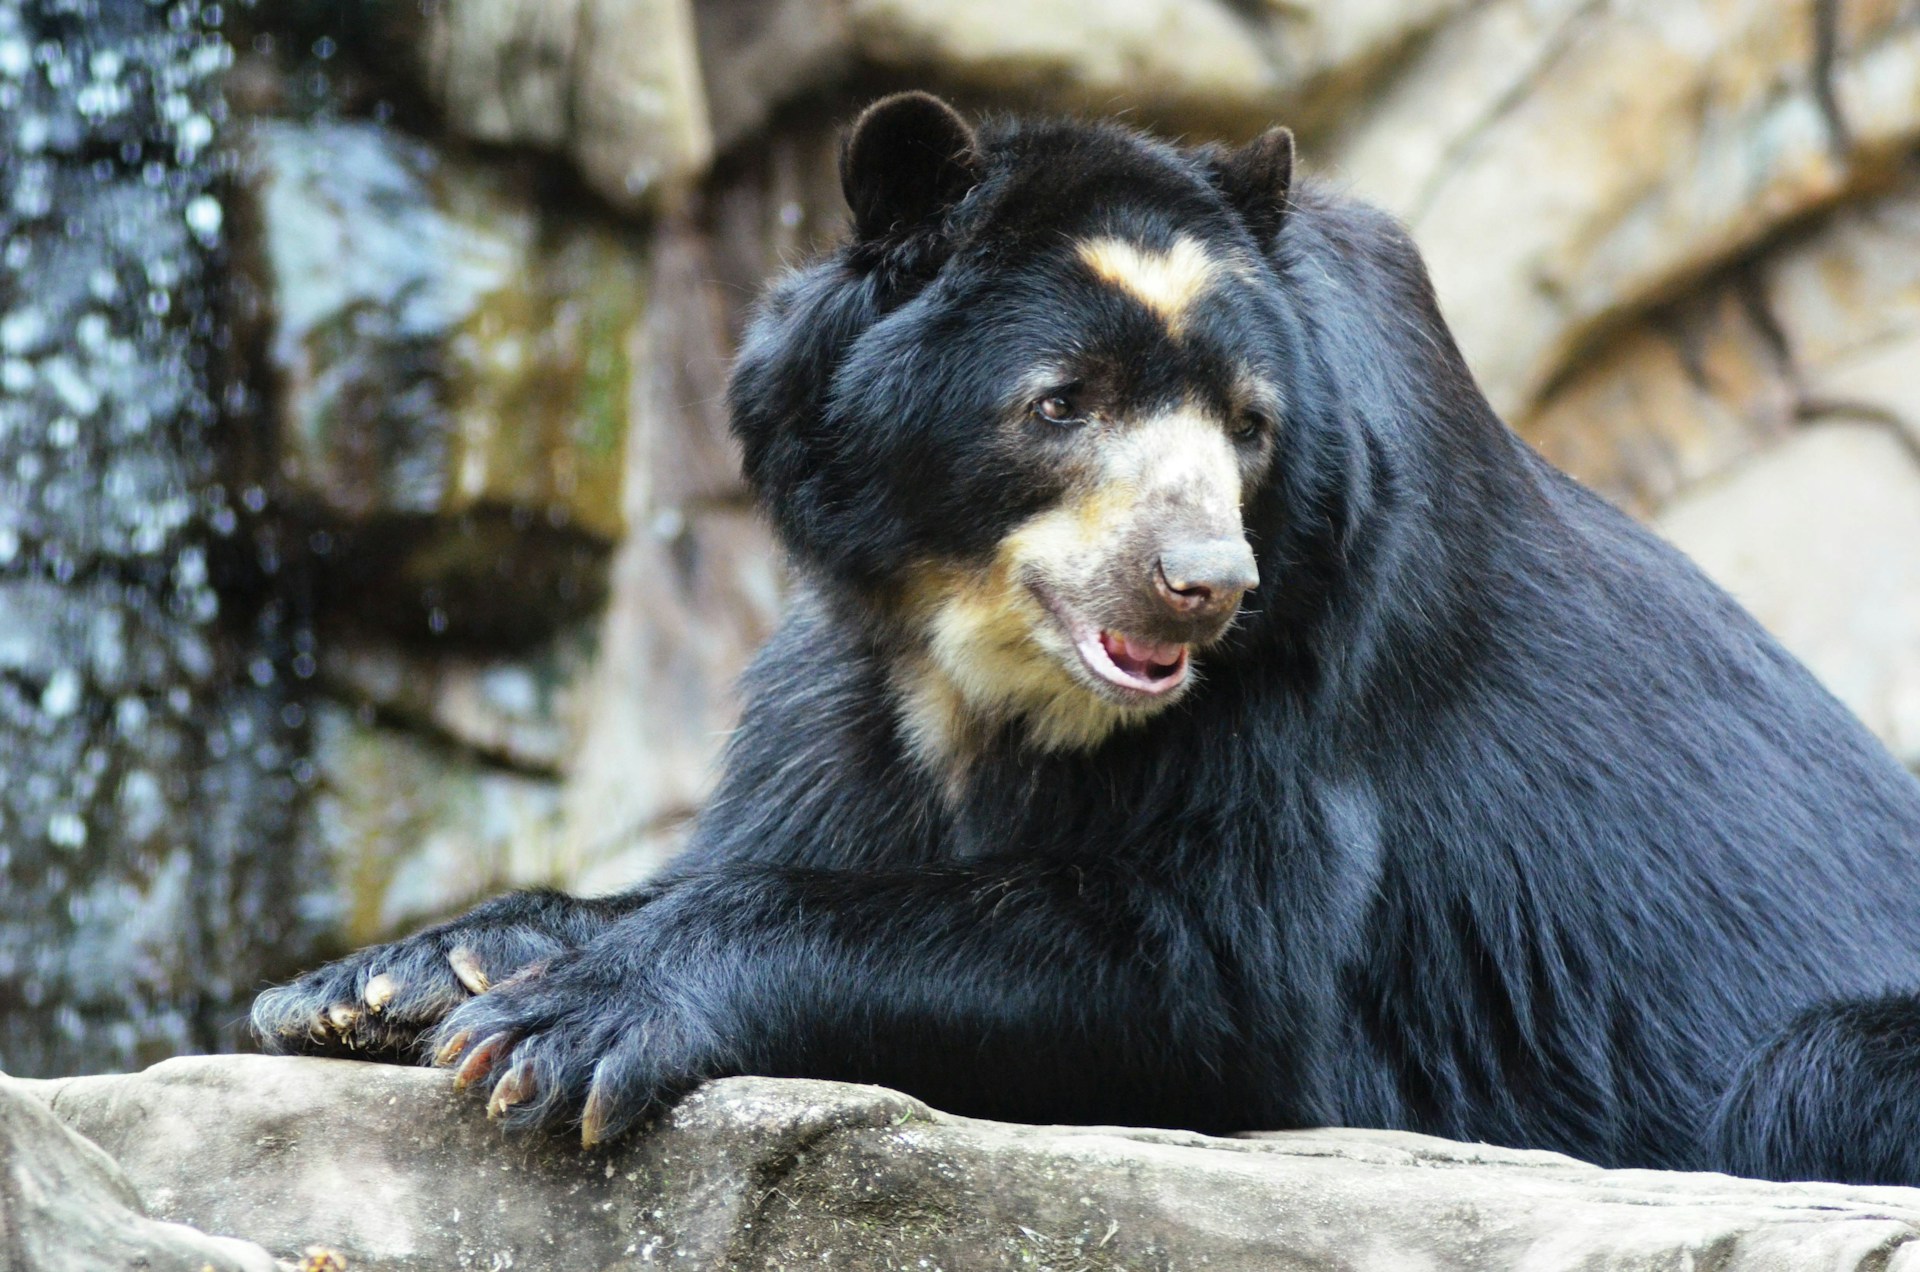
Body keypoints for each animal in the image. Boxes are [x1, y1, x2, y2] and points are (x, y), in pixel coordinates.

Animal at [247, 94, 1920, 1191]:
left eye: (1248, 427)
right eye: (1061, 403)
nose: (1202, 583)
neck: (982, 654)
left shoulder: (1315, 663)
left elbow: (1205, 971)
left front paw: (567, 1029)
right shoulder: (851, 678)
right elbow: (774, 832)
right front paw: (389, 979)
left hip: (1827, 1049)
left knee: (1804, 1074)